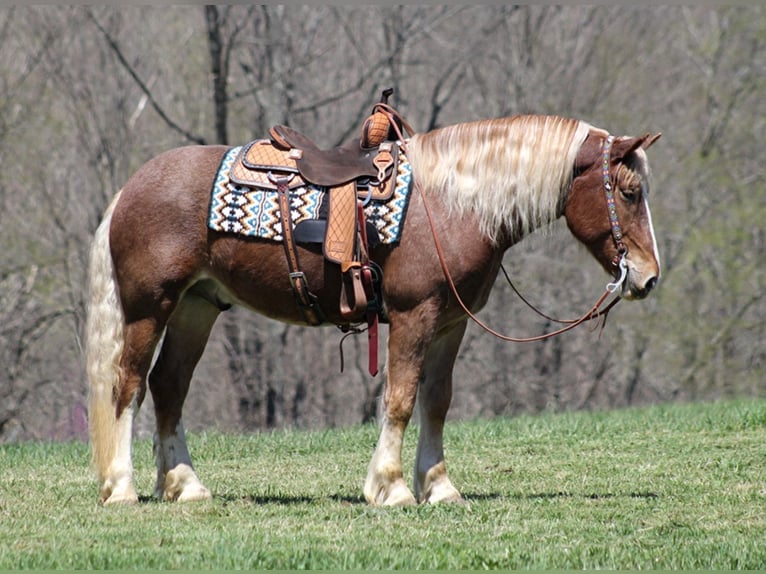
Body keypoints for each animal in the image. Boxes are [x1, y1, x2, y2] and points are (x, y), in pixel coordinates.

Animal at [84, 113, 664, 508]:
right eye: (630, 192)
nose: (648, 277)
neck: (451, 204)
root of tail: (130, 188)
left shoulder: (451, 323)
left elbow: (436, 401)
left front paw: (439, 486)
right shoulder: (413, 316)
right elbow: (401, 399)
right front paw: (391, 487)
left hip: (196, 308)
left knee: (169, 387)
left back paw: (184, 484)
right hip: (149, 308)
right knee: (129, 386)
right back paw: (123, 487)